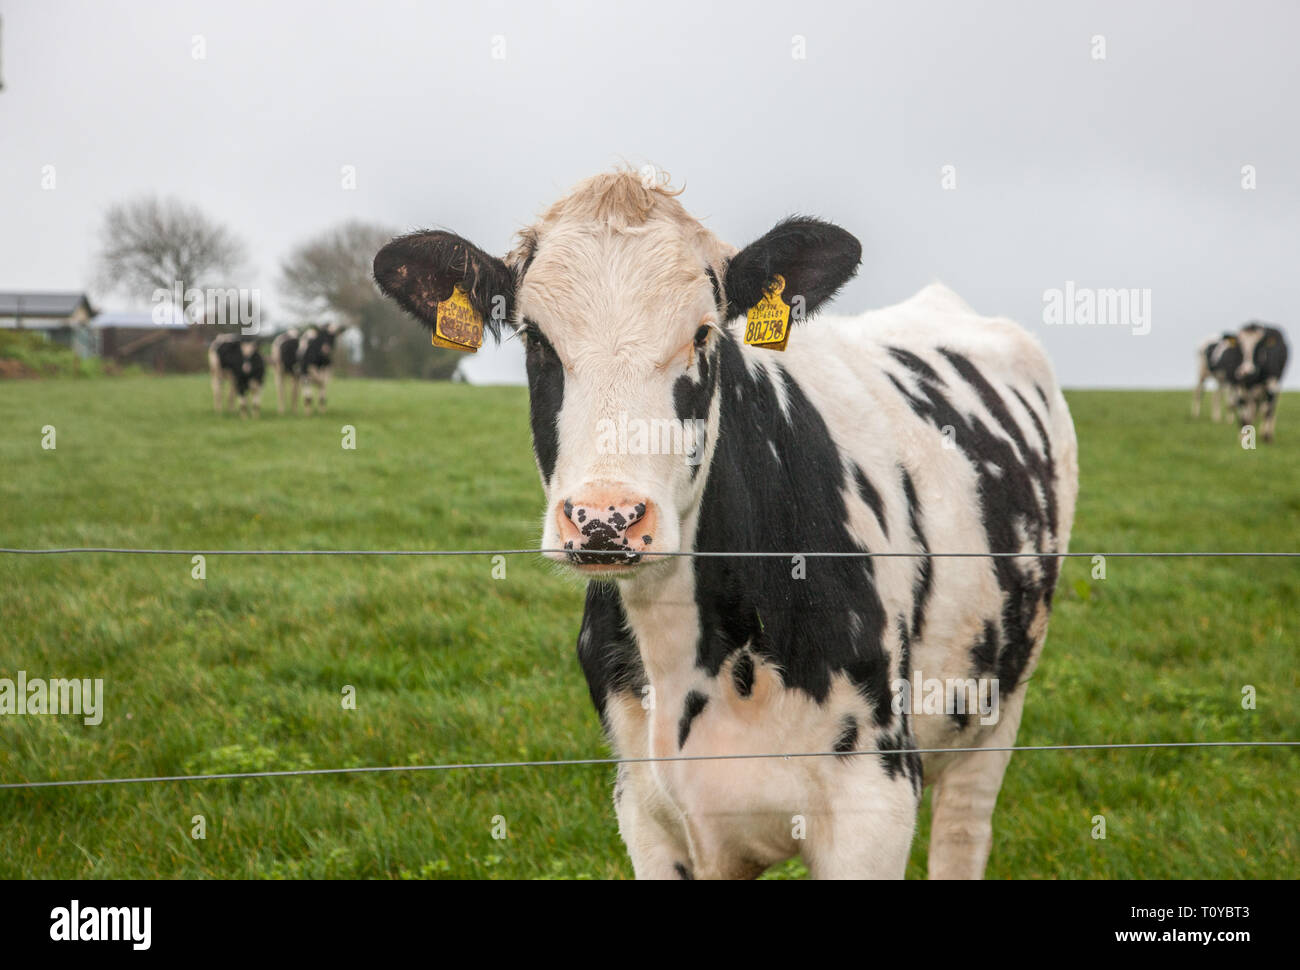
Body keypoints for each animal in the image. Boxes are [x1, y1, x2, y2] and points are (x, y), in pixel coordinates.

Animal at [374, 171, 1076, 878]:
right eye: (537, 339)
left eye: (704, 334)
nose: (605, 520)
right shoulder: (645, 809)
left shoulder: (875, 802)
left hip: (996, 712)